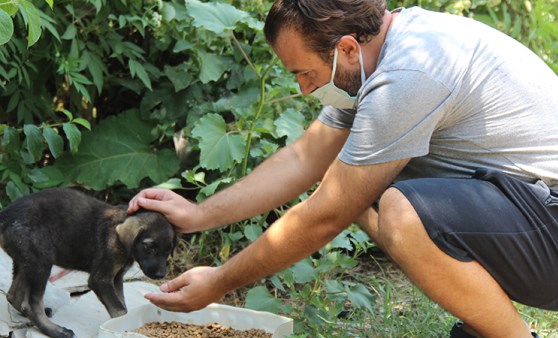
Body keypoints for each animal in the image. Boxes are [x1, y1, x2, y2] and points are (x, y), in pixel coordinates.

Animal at [0, 189, 177, 336]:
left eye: (169, 250)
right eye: (149, 246)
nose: (161, 275)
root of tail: (5, 217)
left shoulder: (117, 278)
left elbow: (123, 307)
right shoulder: (100, 279)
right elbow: (119, 311)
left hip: (27, 261)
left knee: (14, 295)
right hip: (41, 261)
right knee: (31, 303)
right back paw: (55, 330)